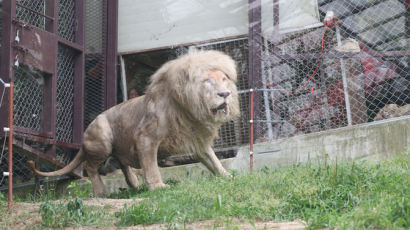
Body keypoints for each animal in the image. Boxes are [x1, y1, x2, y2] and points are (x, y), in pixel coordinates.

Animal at [28, 49, 240, 196]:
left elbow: (212, 159)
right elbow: (151, 165)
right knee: (90, 166)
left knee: (122, 163)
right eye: (207, 81)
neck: (188, 110)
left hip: (120, 146)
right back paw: (101, 192)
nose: (225, 94)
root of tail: (85, 134)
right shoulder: (146, 137)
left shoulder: (197, 140)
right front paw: (158, 186)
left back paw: (134, 184)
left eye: (224, 79)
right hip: (102, 140)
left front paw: (227, 176)